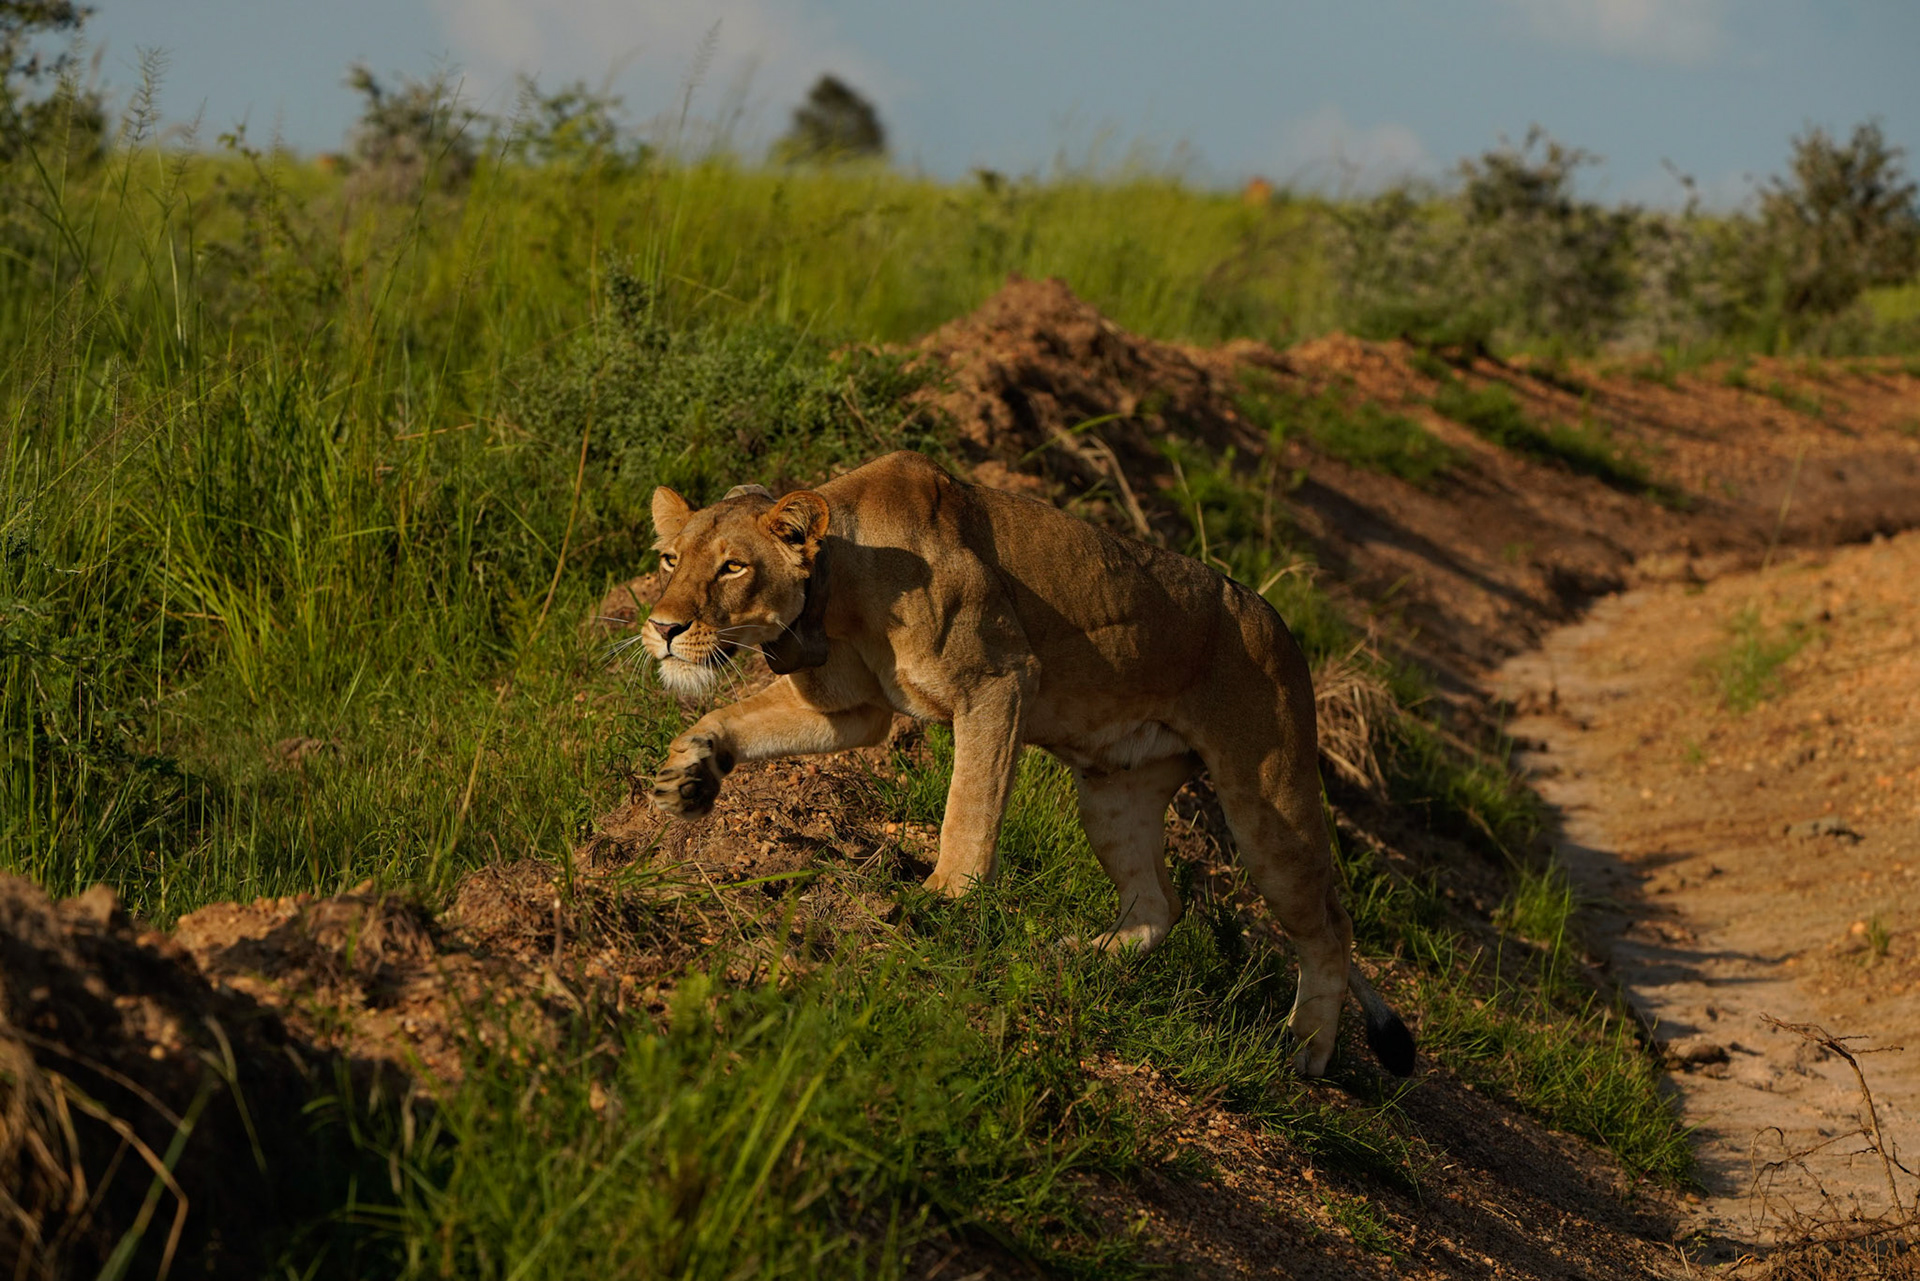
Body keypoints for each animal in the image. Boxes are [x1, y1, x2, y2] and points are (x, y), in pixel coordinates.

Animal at [641, 451, 1414, 1077]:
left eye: (733, 566)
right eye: (670, 560)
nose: (663, 628)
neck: (838, 595)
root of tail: (1280, 625)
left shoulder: (999, 680)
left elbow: (969, 810)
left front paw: (941, 902)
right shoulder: (856, 711)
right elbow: (738, 720)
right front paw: (689, 772)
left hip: (1267, 802)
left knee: (1329, 925)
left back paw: (1306, 1048)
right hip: (1113, 797)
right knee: (1159, 904)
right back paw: (1068, 955)